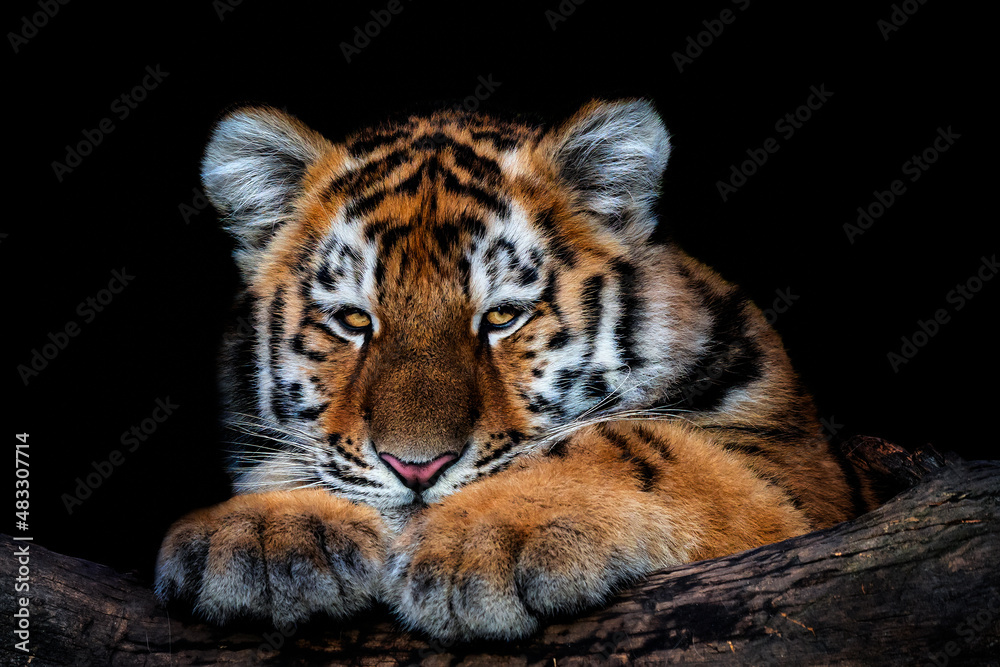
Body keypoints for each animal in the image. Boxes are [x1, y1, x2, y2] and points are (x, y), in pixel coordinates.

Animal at [154, 99, 875, 641]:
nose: (417, 469)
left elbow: (634, 442)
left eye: (501, 316)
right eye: (354, 321)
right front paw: (263, 527)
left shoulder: (796, 476)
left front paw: (483, 540)